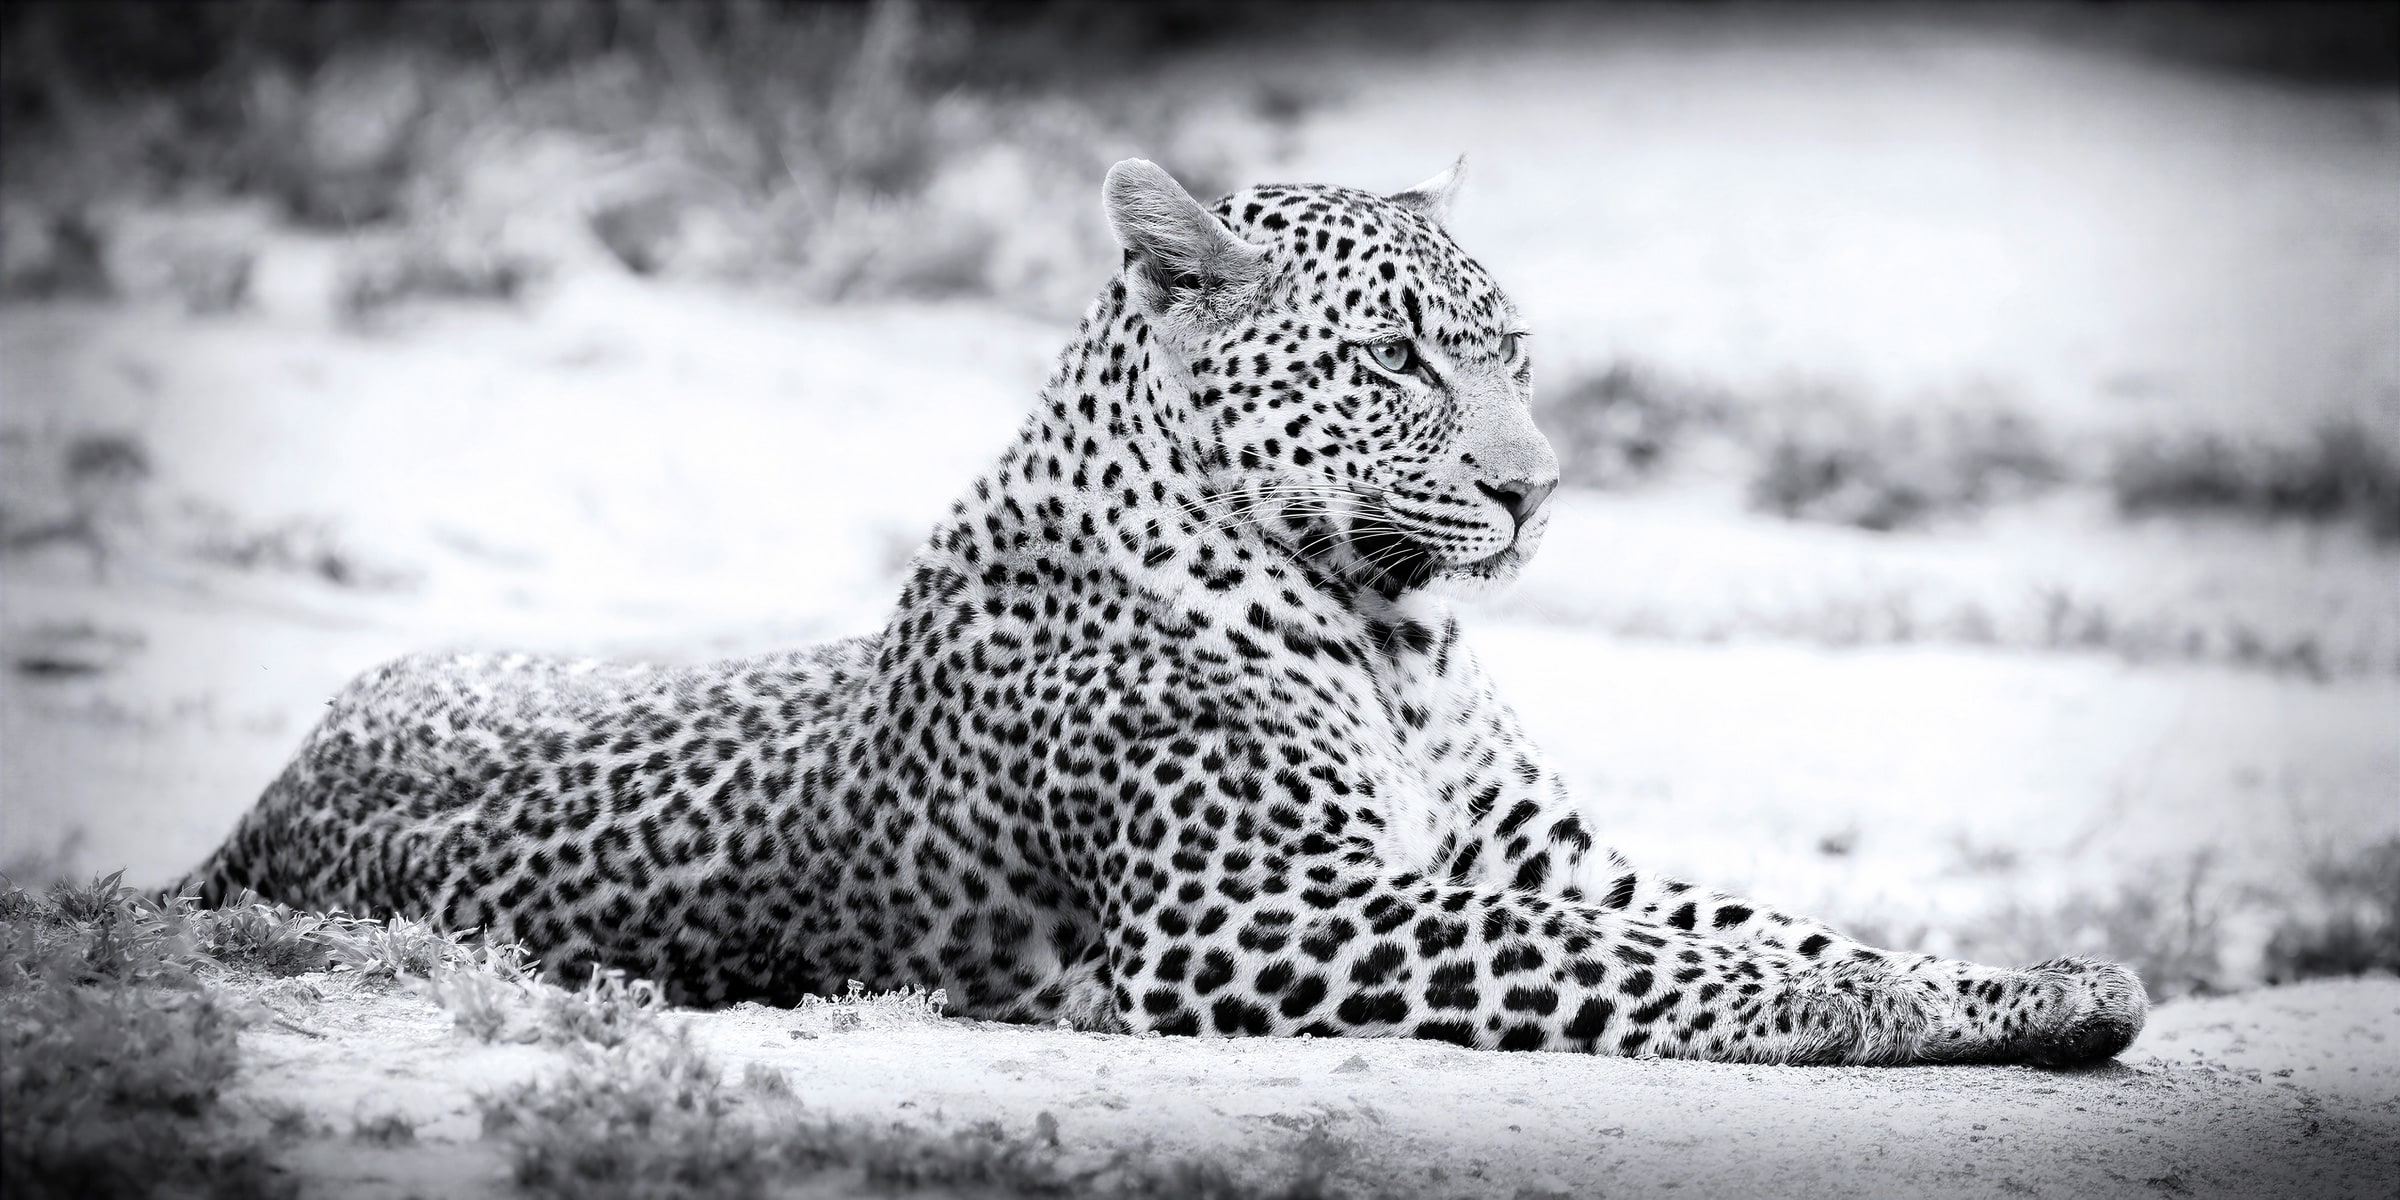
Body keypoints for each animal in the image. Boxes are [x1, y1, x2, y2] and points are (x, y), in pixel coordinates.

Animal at [177, 159, 2147, 1066]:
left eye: (1513, 349)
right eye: (1395, 361)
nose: (1537, 488)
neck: (1398, 635)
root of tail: (253, 816)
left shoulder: (1548, 860)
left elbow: (1758, 916)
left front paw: (2023, 985)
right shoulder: (1251, 916)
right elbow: (1643, 958)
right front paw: (1857, 1008)